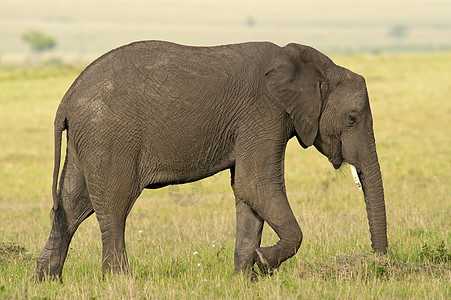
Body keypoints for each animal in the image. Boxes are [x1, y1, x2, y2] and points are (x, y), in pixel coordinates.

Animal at [34, 40, 388, 282]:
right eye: (352, 118)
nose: (380, 262)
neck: (314, 65)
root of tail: (66, 99)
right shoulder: (264, 113)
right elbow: (256, 184)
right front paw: (264, 263)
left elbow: (247, 193)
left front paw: (246, 278)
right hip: (110, 137)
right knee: (114, 206)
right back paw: (121, 282)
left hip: (88, 141)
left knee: (73, 204)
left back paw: (47, 281)